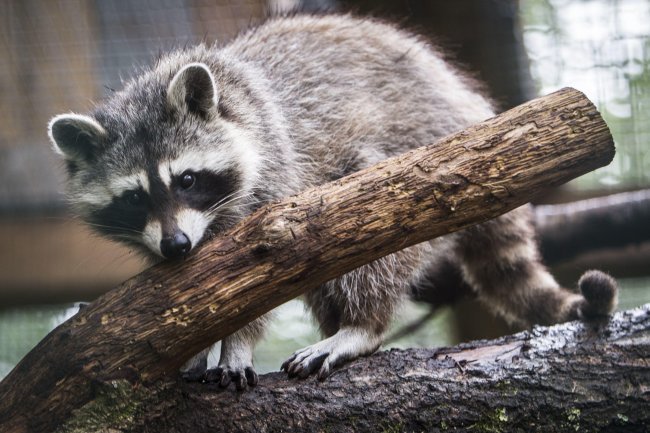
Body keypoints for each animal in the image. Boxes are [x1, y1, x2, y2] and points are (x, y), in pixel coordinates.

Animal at [48, 15, 618, 390]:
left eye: (186, 179)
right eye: (134, 197)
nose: (177, 246)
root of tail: (464, 105)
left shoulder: (275, 175)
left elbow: (257, 278)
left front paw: (236, 341)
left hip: (418, 157)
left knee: (370, 225)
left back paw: (361, 326)